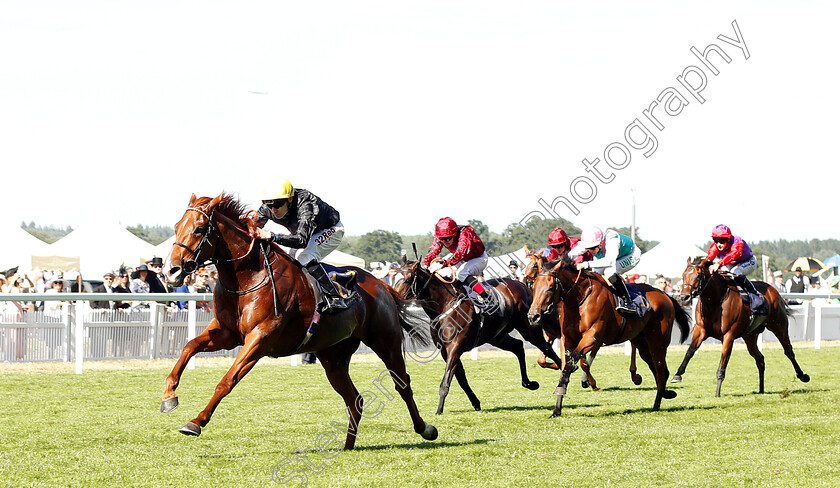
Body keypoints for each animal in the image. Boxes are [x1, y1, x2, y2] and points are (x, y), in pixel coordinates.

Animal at [162, 194, 440, 450]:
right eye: (176, 226)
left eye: (199, 229)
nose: (170, 271)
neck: (248, 277)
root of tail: (382, 285)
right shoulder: (226, 333)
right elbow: (189, 347)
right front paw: (169, 396)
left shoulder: (260, 339)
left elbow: (226, 381)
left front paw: (196, 422)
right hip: (333, 356)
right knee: (355, 399)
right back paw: (347, 445)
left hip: (386, 341)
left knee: (402, 384)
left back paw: (426, 428)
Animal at [394, 258, 564, 414]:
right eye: (394, 277)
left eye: (407, 280)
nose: (394, 299)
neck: (445, 304)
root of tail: (524, 286)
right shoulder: (445, 350)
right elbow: (461, 378)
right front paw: (475, 403)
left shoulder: (455, 347)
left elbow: (446, 381)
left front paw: (439, 410)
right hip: (496, 336)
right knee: (518, 346)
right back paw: (529, 383)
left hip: (529, 329)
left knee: (546, 348)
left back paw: (561, 371)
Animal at [520, 248, 640, 388]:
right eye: (535, 287)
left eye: (550, 288)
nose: (533, 316)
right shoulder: (555, 334)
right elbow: (543, 360)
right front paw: (564, 368)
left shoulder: (586, 333)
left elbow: (579, 359)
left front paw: (586, 379)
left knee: (633, 344)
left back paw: (634, 375)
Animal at [528, 255, 692, 416]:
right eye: (533, 287)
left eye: (550, 288)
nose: (533, 316)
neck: (579, 298)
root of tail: (665, 295)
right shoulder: (567, 339)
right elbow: (565, 365)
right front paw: (556, 409)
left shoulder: (592, 337)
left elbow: (574, 361)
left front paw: (565, 388)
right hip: (642, 342)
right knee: (658, 369)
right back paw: (664, 392)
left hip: (658, 342)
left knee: (660, 371)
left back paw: (656, 404)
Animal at [668, 255, 808, 396]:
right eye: (684, 275)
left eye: (698, 276)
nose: (684, 297)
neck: (715, 301)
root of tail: (775, 291)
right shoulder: (700, 330)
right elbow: (690, 351)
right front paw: (677, 375)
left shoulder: (728, 335)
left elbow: (723, 363)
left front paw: (717, 393)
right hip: (750, 336)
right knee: (760, 359)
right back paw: (761, 389)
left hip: (779, 326)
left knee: (788, 351)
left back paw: (802, 375)